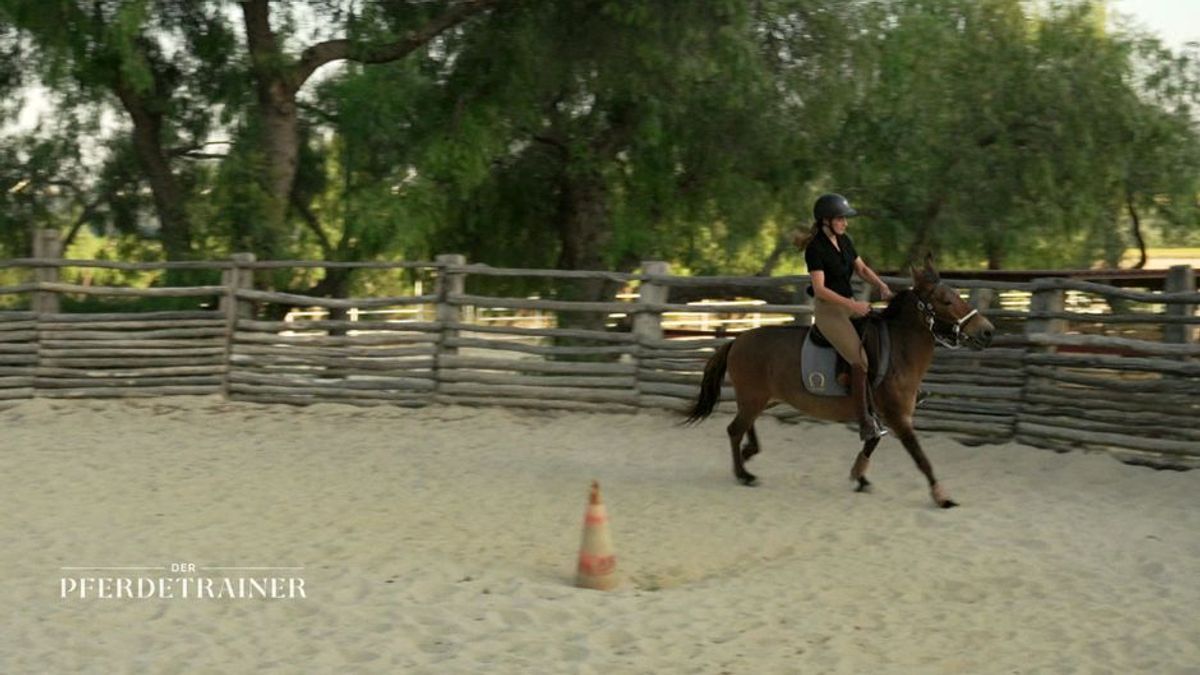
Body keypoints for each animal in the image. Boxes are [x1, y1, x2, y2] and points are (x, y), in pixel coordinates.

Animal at [686, 254, 993, 506]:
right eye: (946, 301)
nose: (987, 331)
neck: (899, 350)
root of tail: (737, 340)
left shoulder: (882, 414)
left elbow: (872, 442)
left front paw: (859, 476)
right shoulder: (898, 417)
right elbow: (921, 457)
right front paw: (942, 496)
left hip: (762, 398)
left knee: (745, 425)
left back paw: (749, 453)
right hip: (754, 397)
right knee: (734, 429)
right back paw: (744, 473)